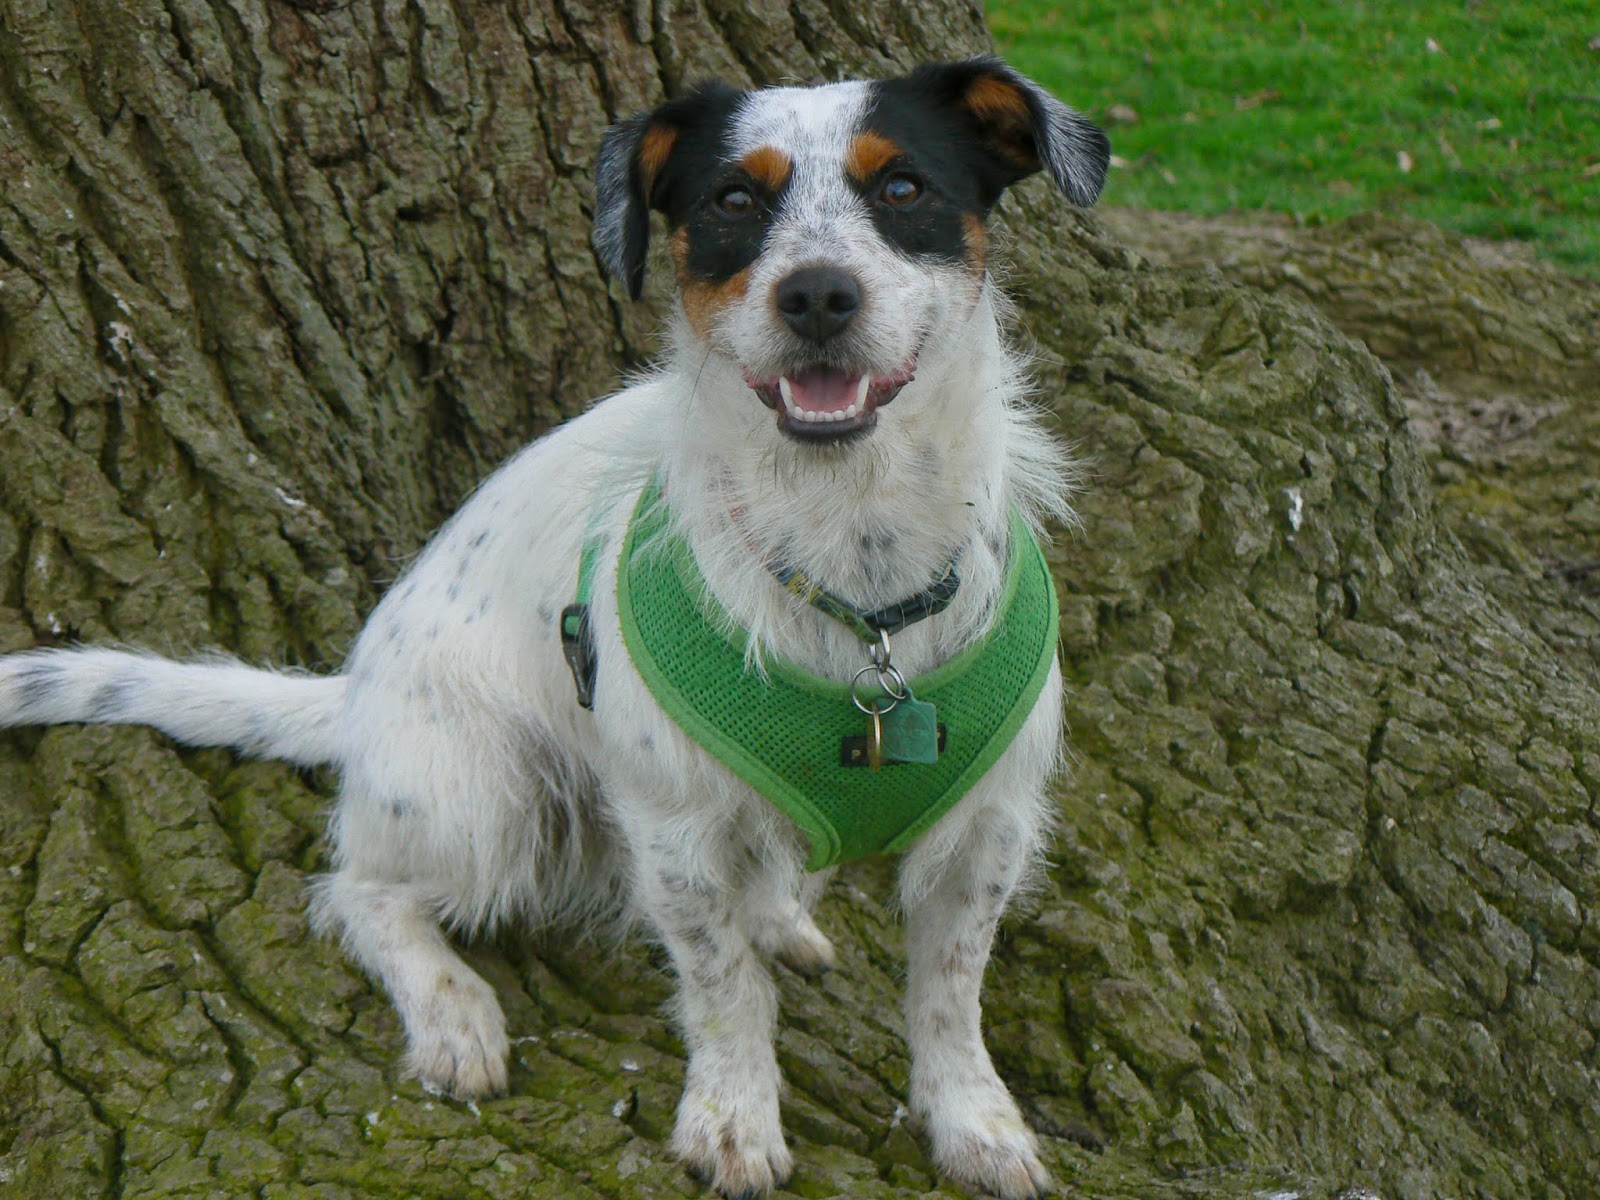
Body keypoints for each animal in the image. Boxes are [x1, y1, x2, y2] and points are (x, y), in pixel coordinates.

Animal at [0, 56, 1107, 1200]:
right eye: (733, 201)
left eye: (902, 188)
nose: (815, 295)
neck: (859, 571)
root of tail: (354, 692)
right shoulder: (670, 828)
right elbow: (722, 986)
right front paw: (733, 1117)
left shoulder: (989, 831)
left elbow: (950, 992)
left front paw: (973, 1121)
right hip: (484, 798)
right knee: (355, 891)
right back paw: (454, 1013)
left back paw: (783, 918)